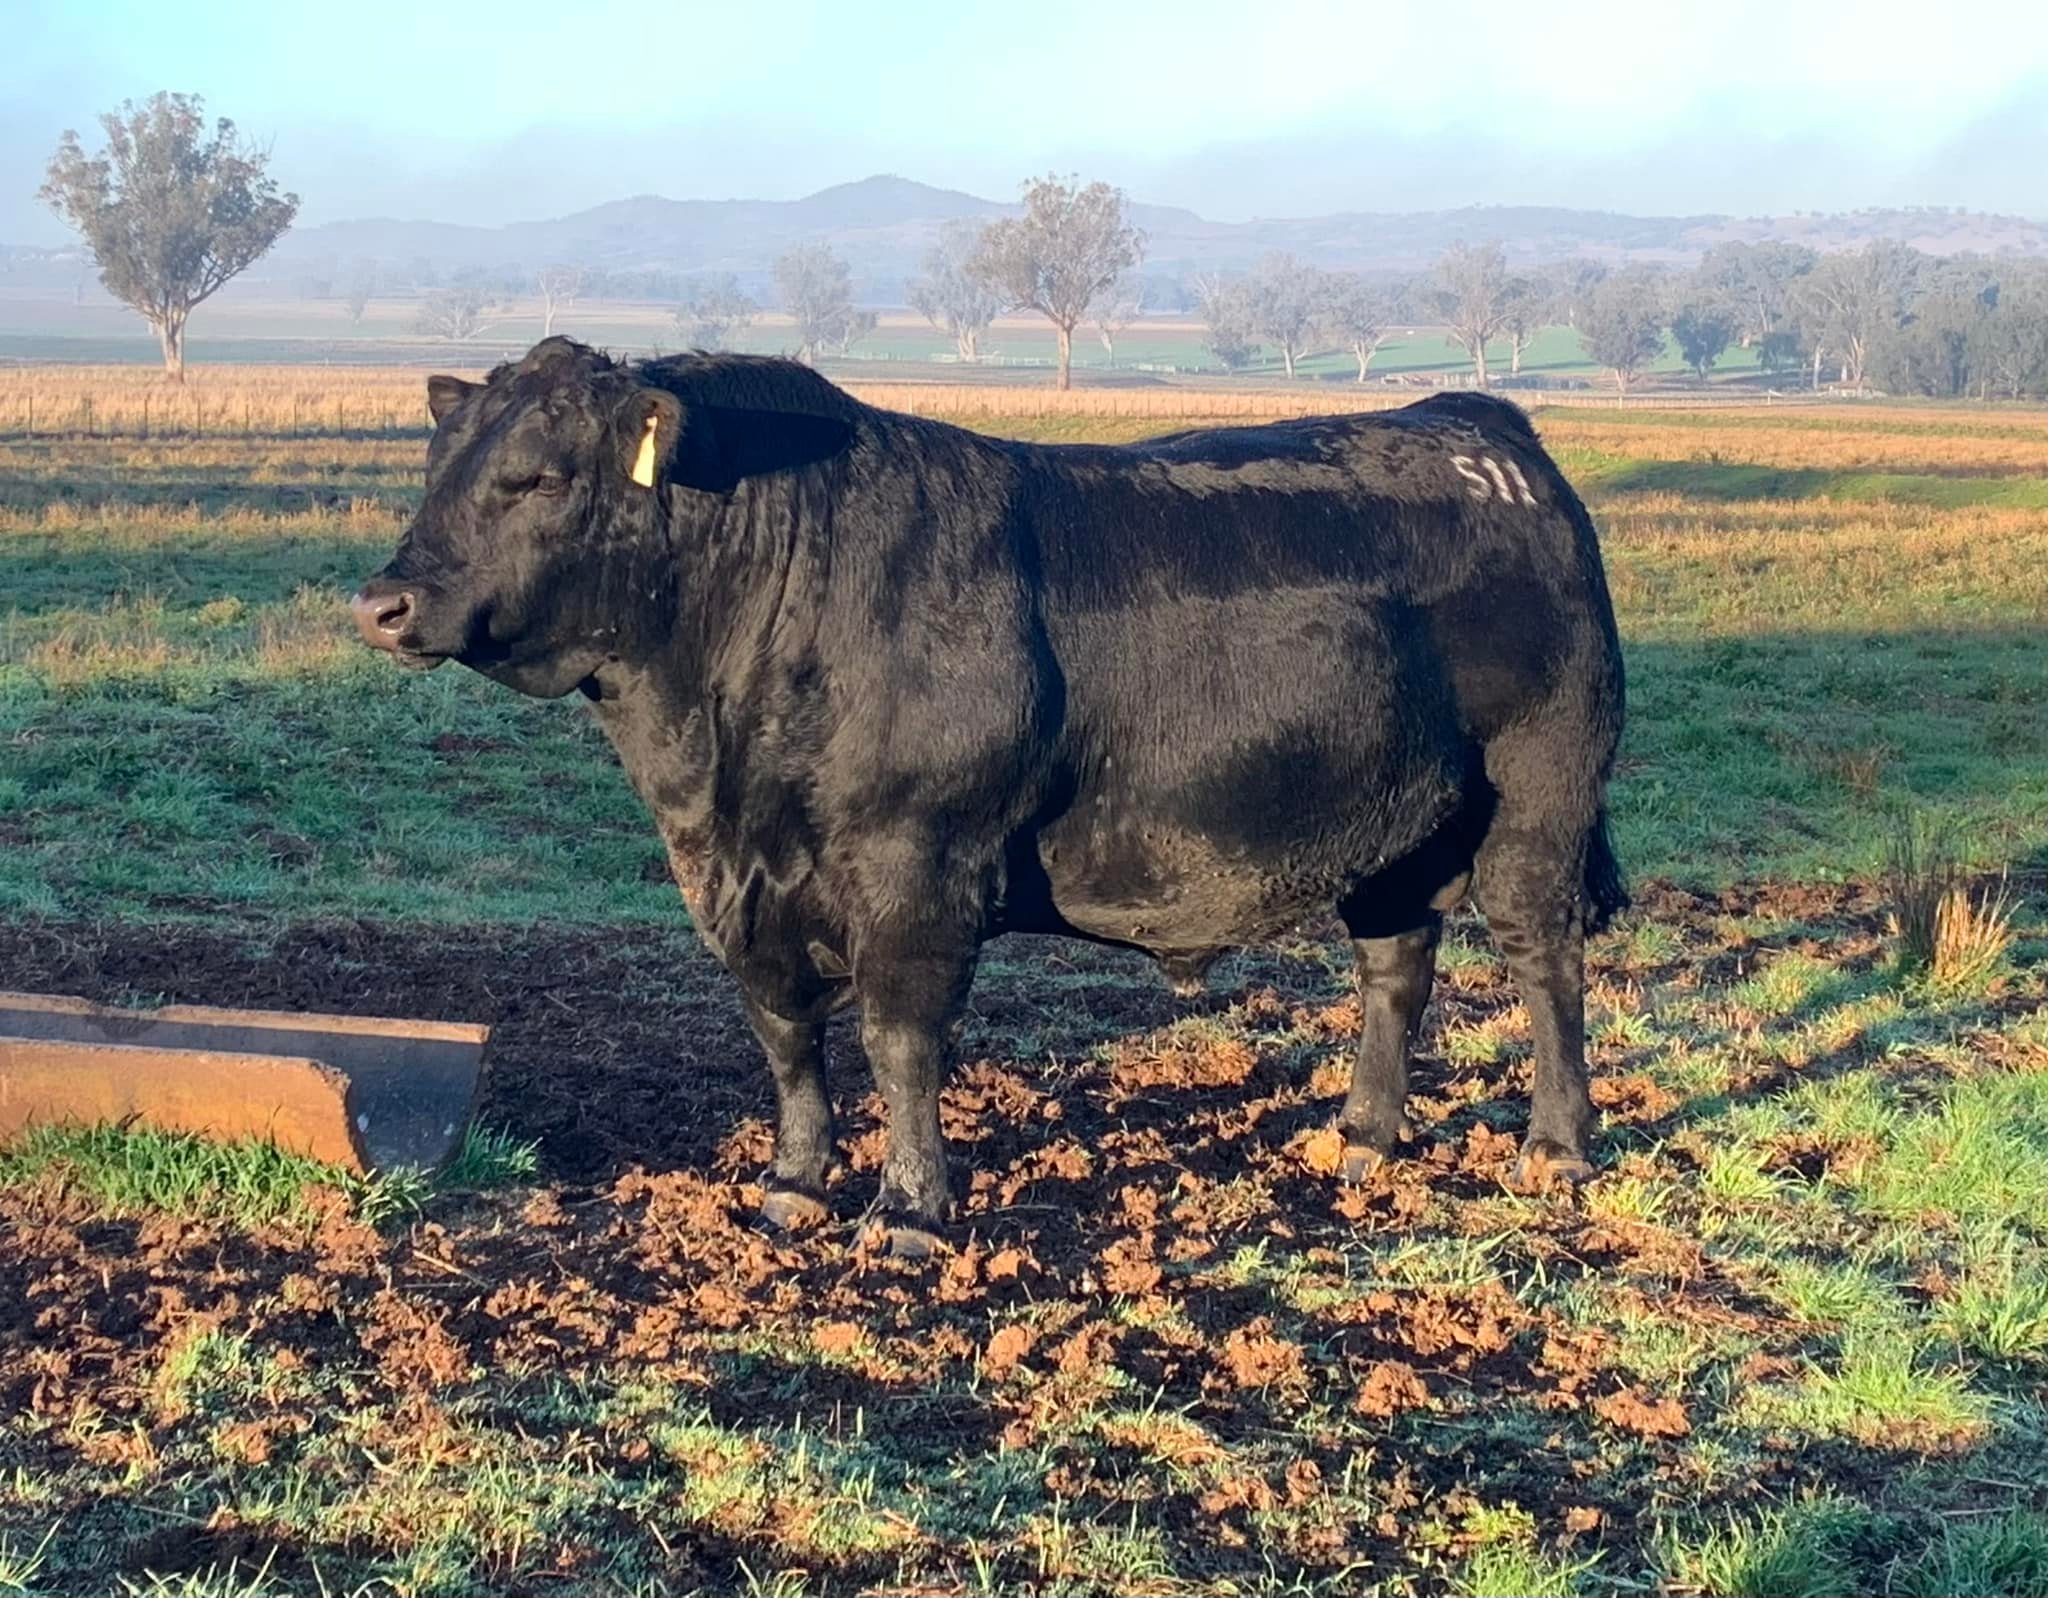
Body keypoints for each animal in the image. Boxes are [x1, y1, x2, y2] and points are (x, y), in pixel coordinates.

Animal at [352, 337, 1627, 1255]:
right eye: (438, 468)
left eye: (535, 475)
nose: (382, 602)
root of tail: (1471, 425)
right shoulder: (734, 879)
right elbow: (782, 1030)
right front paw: (793, 1183)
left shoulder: (913, 866)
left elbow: (899, 1036)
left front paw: (909, 1211)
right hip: (1389, 825)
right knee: (1394, 964)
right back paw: (1361, 1137)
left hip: (1538, 794)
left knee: (1540, 953)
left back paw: (1556, 1146)